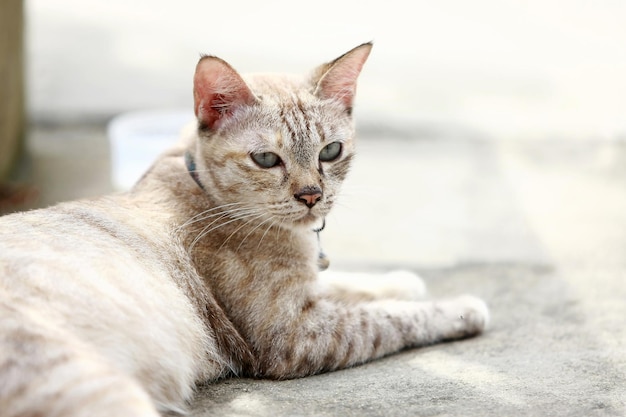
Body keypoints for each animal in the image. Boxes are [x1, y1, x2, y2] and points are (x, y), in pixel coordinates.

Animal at [0, 43, 488, 416]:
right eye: (267, 159)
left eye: (330, 151)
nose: (311, 195)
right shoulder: (296, 334)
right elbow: (395, 317)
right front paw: (463, 308)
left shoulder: (310, 289)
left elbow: (351, 282)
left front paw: (402, 280)